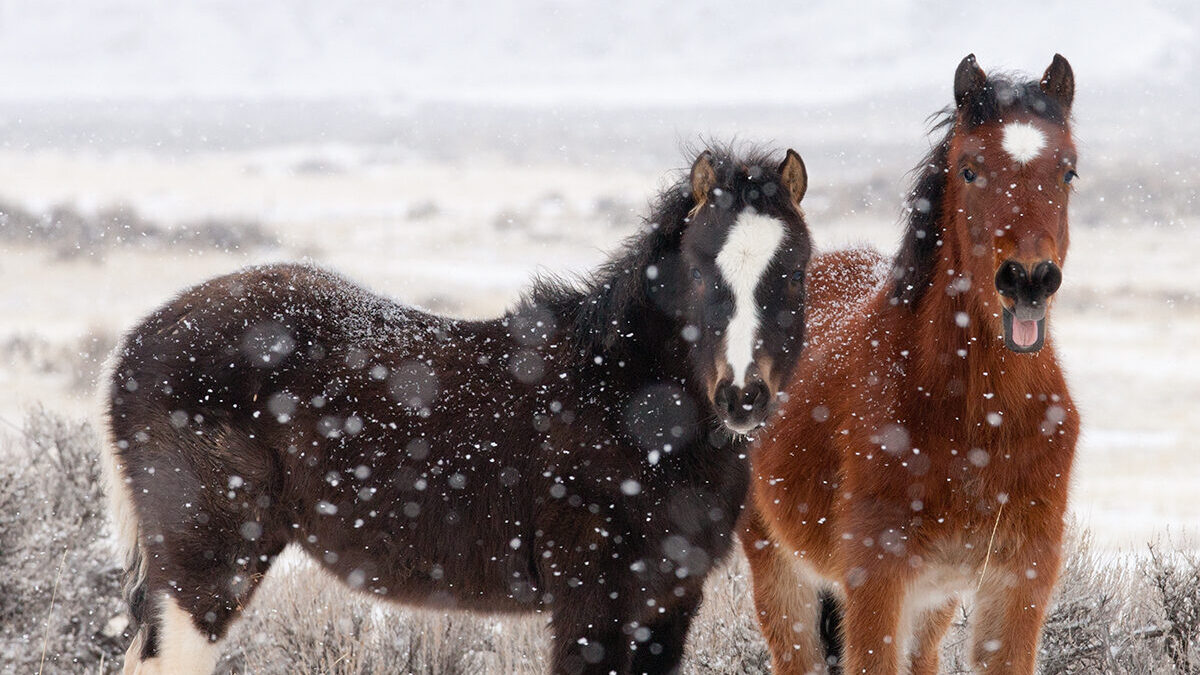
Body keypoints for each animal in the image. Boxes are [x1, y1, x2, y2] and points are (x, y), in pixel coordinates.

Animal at [103, 144, 816, 667]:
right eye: (700, 273)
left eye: (793, 273)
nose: (743, 395)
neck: (626, 404)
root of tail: (138, 341)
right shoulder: (594, 605)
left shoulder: (667, 604)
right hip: (206, 570)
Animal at [744, 53, 1084, 672]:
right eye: (969, 170)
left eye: (1067, 171)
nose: (1028, 280)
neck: (978, 421)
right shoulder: (877, 579)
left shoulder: (1018, 582)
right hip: (778, 570)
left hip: (933, 603)